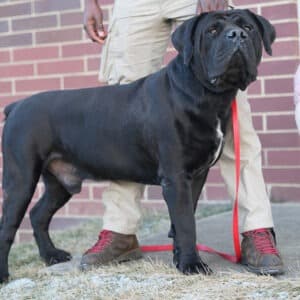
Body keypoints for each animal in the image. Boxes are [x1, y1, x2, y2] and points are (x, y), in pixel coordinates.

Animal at [0, 8, 274, 282]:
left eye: (248, 28)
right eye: (212, 31)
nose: (236, 35)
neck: (204, 94)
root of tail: (16, 105)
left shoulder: (196, 177)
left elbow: (181, 221)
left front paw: (179, 259)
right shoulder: (176, 177)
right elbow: (186, 223)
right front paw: (192, 264)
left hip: (60, 182)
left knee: (38, 215)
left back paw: (51, 255)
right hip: (21, 179)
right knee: (8, 226)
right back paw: (6, 273)